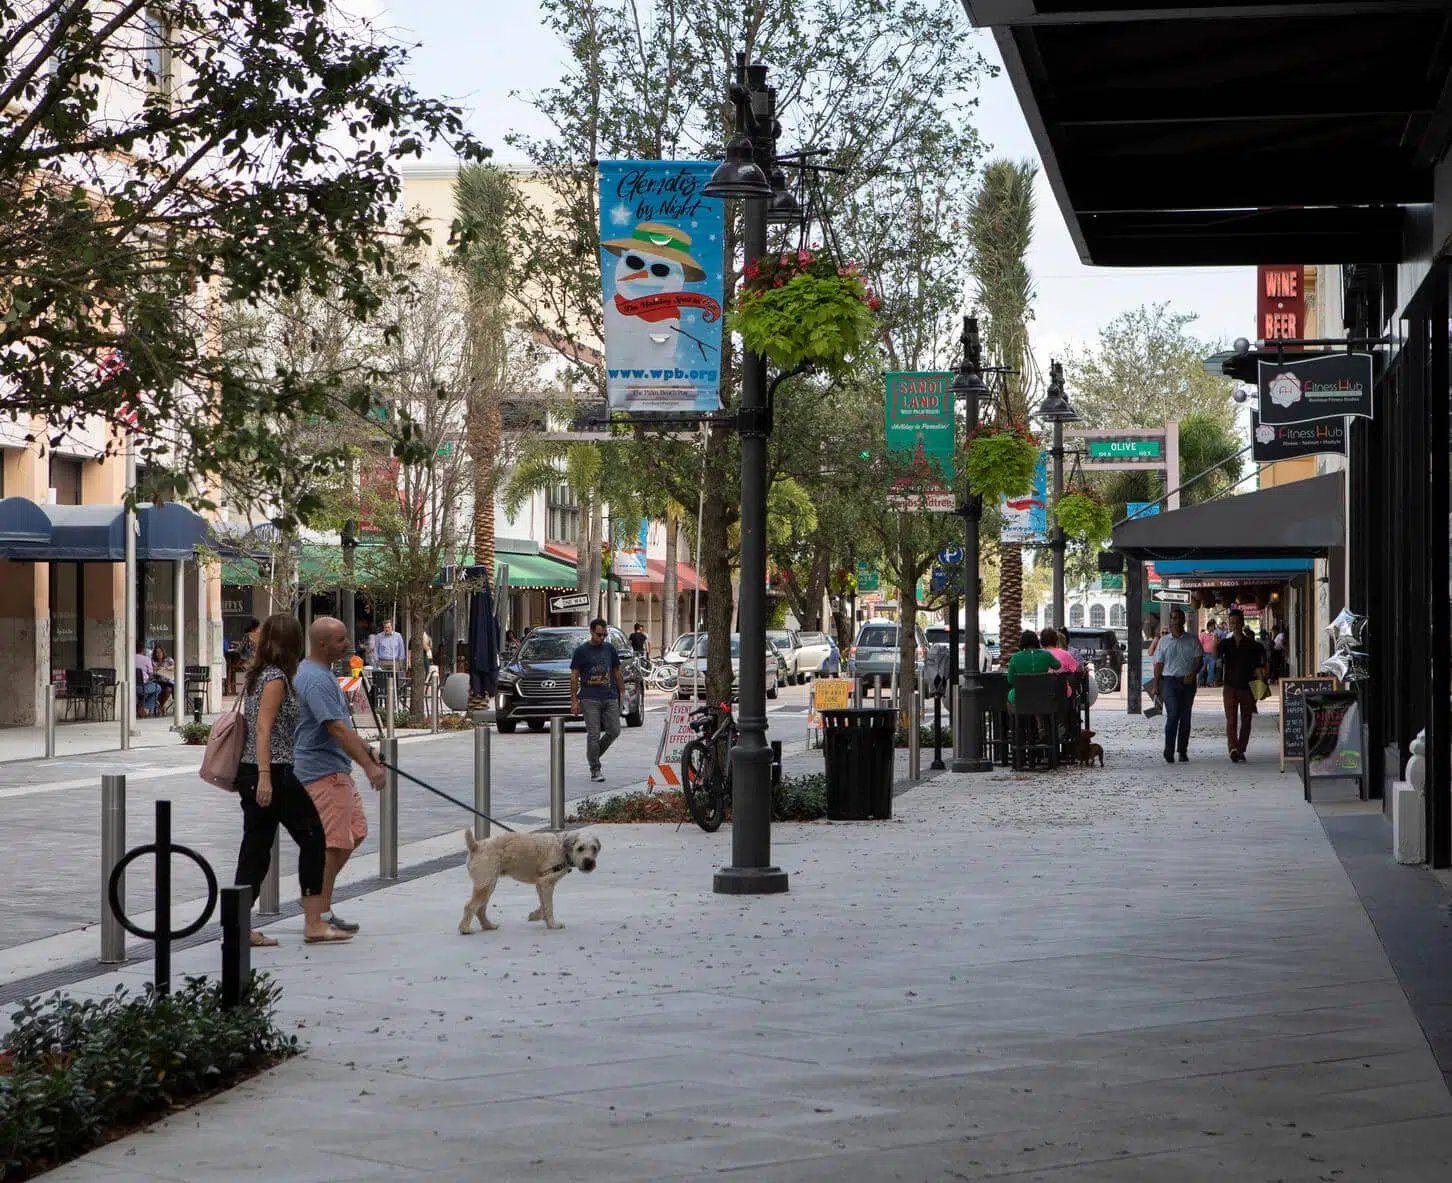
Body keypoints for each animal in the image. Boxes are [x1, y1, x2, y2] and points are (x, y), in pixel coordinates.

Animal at [458, 828, 601, 933]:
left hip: (488, 884)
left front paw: (536, 916)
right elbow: (549, 906)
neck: (562, 849)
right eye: (580, 848)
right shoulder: (546, 882)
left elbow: (543, 905)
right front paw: (552, 924)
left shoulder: (541, 884)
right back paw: (465, 929)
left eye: (594, 848)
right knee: (470, 906)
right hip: (486, 885)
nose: (589, 863)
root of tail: (476, 846)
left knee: (480, 909)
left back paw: (488, 926)